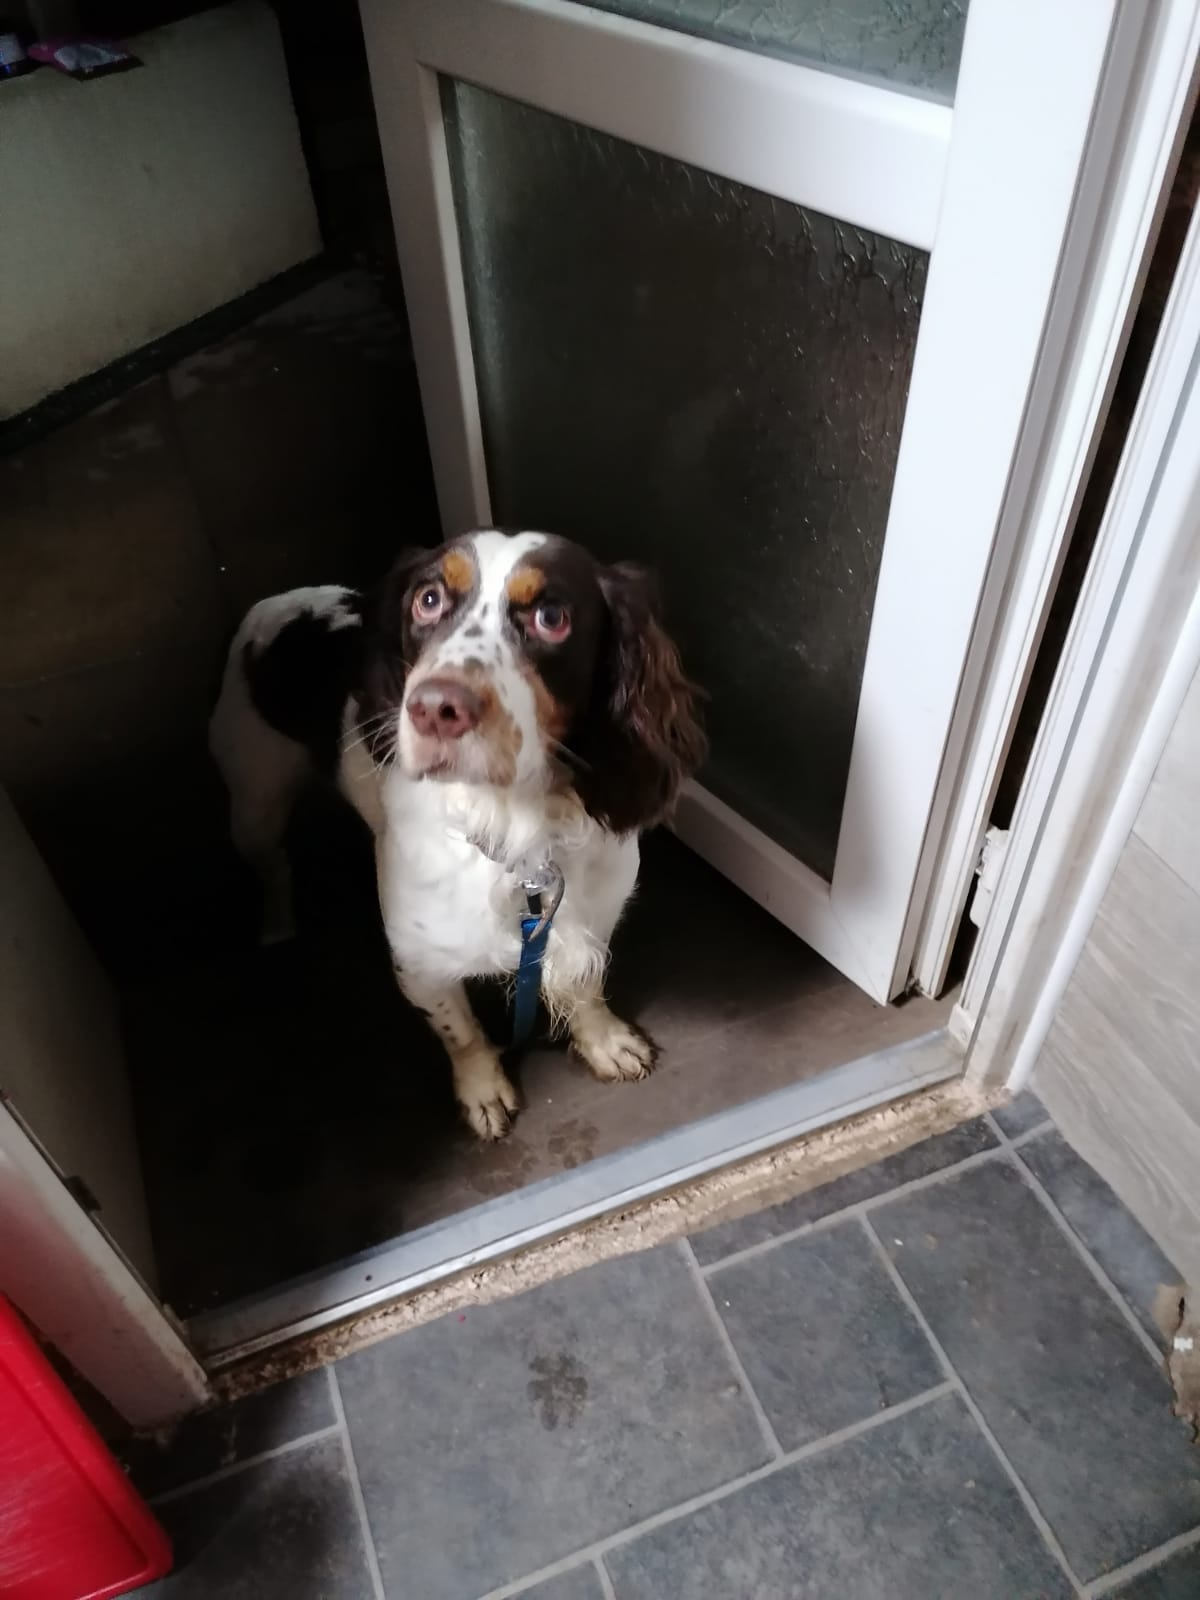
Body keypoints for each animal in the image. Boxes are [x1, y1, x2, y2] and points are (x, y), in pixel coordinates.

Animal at [209, 529, 705, 1139]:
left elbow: (584, 987)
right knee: (274, 866)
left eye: (552, 616)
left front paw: (605, 1040)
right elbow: (459, 1031)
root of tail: (273, 602)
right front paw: (482, 1090)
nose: (434, 708)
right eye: (428, 600)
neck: (518, 829)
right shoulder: (420, 960)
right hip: (252, 803)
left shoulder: (590, 916)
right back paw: (278, 926)